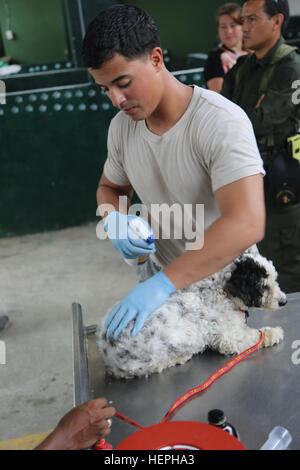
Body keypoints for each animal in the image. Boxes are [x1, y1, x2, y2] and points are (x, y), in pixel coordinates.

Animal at [98, 248, 286, 380]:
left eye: (275, 279)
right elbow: (255, 335)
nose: (284, 301)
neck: (221, 291)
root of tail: (106, 353)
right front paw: (274, 333)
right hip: (175, 340)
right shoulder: (228, 338)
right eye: (263, 286)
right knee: (152, 366)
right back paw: (180, 357)